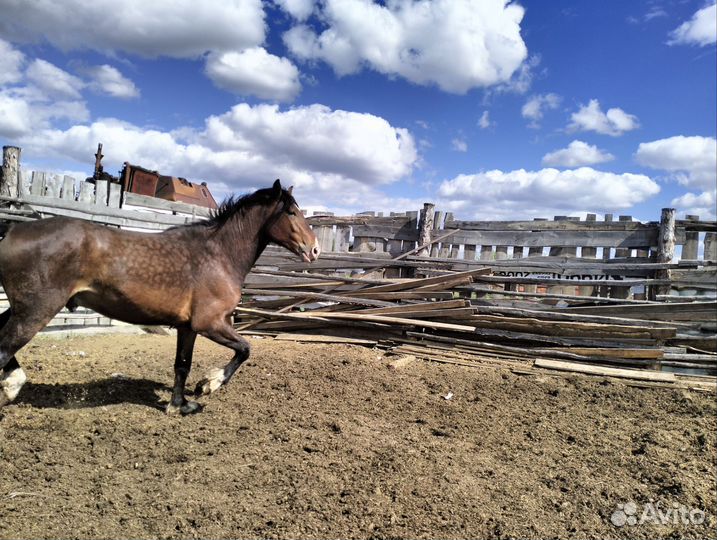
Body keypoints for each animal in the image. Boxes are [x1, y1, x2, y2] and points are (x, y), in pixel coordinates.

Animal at [0, 179, 319, 414]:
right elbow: (245, 349)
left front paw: (180, 405)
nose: (314, 249)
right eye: (291, 212)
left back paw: (12, 385)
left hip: (21, 308)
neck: (219, 255)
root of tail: (12, 230)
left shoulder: (187, 327)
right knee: (4, 348)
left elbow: (182, 365)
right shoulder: (210, 323)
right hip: (36, 311)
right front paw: (209, 384)